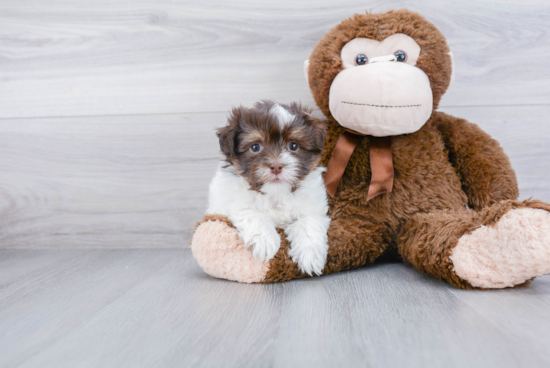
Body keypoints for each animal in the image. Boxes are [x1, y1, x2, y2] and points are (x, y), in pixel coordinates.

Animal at [208, 99, 332, 274]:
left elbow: (308, 223)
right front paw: (265, 242)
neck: (275, 193)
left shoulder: (313, 206)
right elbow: (251, 213)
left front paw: (310, 256)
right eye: (255, 147)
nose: (276, 166)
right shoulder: (234, 201)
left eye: (293, 146)